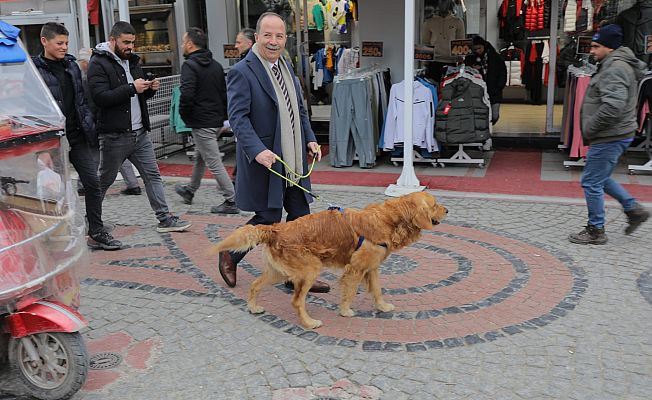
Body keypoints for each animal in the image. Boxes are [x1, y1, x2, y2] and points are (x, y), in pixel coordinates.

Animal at [210, 192, 448, 329]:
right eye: (435, 204)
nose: (447, 209)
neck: (389, 219)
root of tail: (277, 229)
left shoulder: (372, 267)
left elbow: (377, 290)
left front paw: (382, 306)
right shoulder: (355, 269)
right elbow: (349, 292)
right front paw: (345, 311)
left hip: (276, 272)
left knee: (255, 285)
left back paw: (253, 307)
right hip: (310, 269)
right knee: (296, 301)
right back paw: (309, 322)